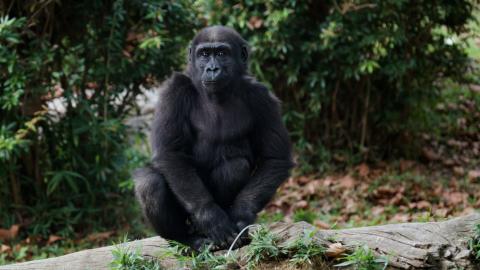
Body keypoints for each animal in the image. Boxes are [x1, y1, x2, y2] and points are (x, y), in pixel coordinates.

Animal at [133, 25, 294, 251]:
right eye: (204, 54)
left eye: (221, 53)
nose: (212, 69)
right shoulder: (174, 90)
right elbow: (170, 154)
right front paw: (210, 217)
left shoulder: (262, 97)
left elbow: (275, 158)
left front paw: (241, 215)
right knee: (149, 184)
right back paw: (187, 239)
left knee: (235, 166)